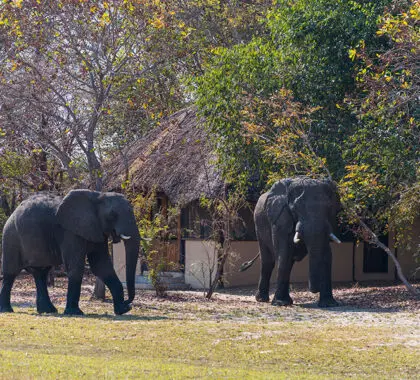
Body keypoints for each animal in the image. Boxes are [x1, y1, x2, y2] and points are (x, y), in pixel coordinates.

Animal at [0, 189, 141, 316]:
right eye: (112, 215)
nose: (128, 303)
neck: (97, 196)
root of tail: (13, 212)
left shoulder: (97, 230)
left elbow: (102, 266)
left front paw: (123, 310)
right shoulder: (70, 232)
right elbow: (76, 266)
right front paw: (75, 313)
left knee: (40, 273)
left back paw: (48, 311)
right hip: (11, 236)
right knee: (10, 273)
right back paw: (7, 310)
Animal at [246, 177, 342, 308]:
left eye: (329, 207)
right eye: (295, 208)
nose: (314, 289)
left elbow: (327, 254)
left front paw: (329, 304)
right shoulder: (280, 219)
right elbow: (284, 253)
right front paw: (280, 303)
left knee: (288, 262)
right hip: (258, 226)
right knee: (268, 261)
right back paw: (263, 299)